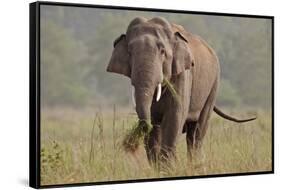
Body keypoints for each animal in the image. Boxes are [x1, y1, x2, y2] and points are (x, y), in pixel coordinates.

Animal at [105, 17, 256, 166]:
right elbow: (155, 124)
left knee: (197, 132)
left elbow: (175, 116)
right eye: (130, 53)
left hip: (214, 84)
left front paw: (168, 167)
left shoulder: (183, 75)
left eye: (163, 51)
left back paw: (194, 165)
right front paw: (158, 167)